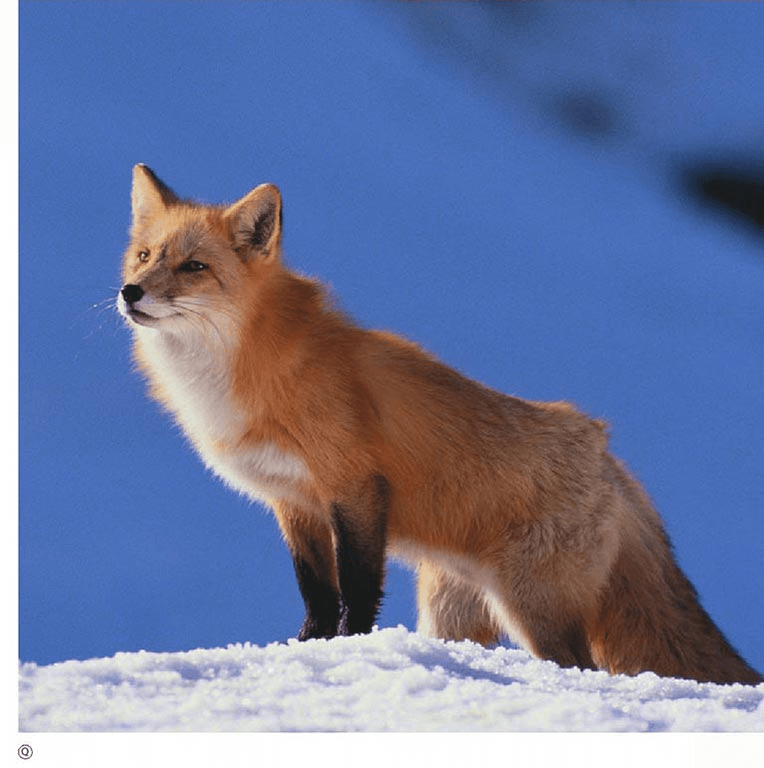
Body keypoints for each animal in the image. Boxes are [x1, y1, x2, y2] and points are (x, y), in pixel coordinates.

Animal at [117, 164, 762, 685]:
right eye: (146, 256)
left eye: (195, 266)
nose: (130, 292)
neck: (243, 373)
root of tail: (605, 450)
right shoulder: (294, 502)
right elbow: (317, 594)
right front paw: (304, 650)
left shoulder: (355, 487)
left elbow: (356, 590)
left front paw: (348, 651)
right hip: (453, 611)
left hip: (536, 609)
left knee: (583, 667)